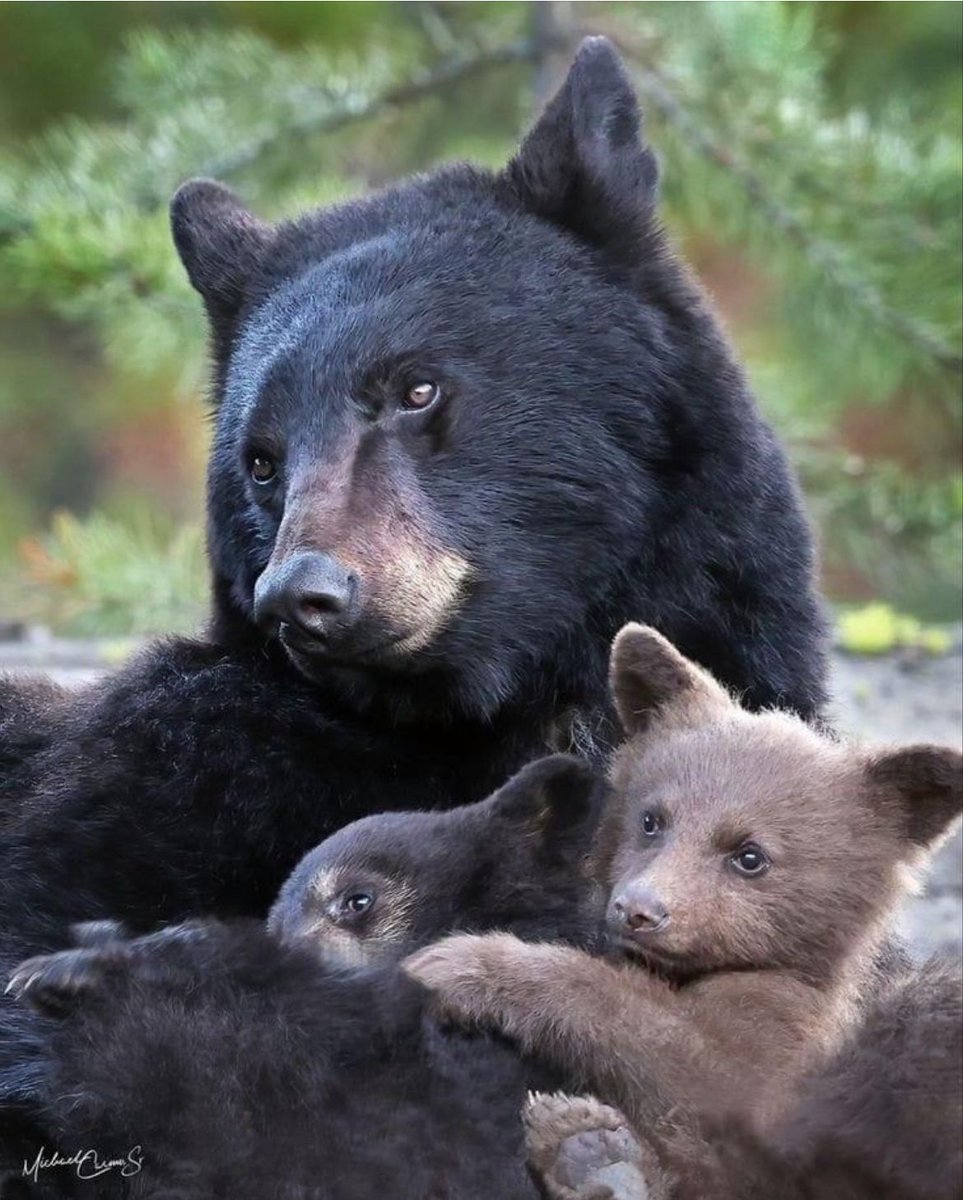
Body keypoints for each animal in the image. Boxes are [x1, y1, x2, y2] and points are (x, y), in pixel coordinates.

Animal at [405, 623, 962, 1151]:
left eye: (750, 856)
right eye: (651, 820)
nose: (638, 909)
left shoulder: (791, 1043)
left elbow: (697, 1065)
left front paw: (459, 965)